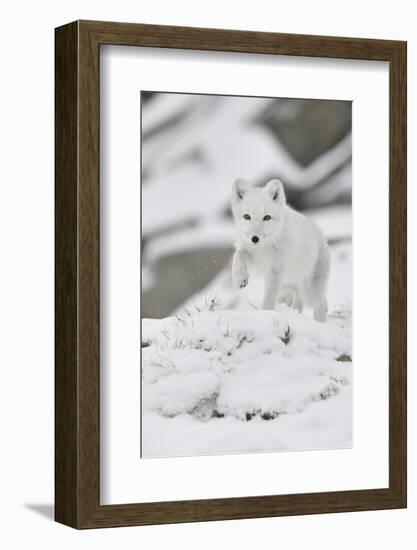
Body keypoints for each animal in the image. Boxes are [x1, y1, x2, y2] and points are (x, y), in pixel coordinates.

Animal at [231, 179, 328, 324]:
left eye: (267, 217)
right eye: (247, 216)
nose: (255, 239)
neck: (264, 247)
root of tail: (323, 237)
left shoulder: (276, 270)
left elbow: (269, 298)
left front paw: (265, 314)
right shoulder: (250, 252)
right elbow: (238, 254)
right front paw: (240, 278)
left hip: (311, 290)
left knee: (322, 304)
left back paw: (320, 323)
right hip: (289, 286)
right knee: (299, 302)